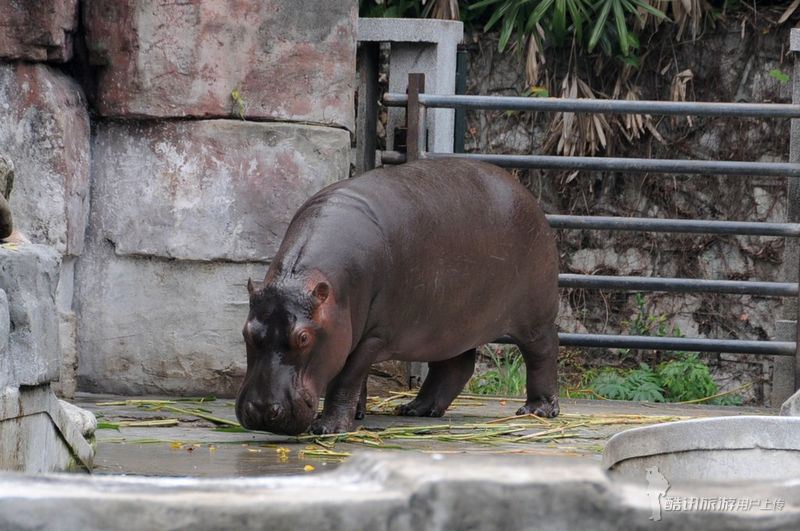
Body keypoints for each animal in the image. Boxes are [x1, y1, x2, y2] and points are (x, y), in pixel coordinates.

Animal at [234, 158, 560, 436]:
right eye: (246, 332)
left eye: (303, 337)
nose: (261, 412)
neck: (306, 279)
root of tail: (524, 192)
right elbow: (358, 380)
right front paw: (358, 414)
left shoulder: (373, 335)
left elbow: (347, 378)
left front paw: (329, 428)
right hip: (450, 322)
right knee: (455, 365)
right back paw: (415, 409)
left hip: (535, 314)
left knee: (542, 352)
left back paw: (537, 410)